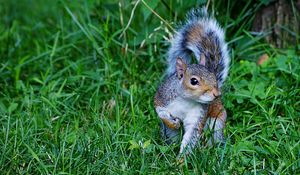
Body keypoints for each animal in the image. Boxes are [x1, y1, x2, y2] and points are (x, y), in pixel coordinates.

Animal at [154, 8, 229, 155]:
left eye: (213, 77)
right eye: (193, 81)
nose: (217, 94)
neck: (186, 100)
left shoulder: (198, 115)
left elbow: (191, 137)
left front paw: (181, 160)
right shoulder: (162, 98)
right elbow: (160, 112)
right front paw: (173, 122)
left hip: (216, 122)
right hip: (170, 133)